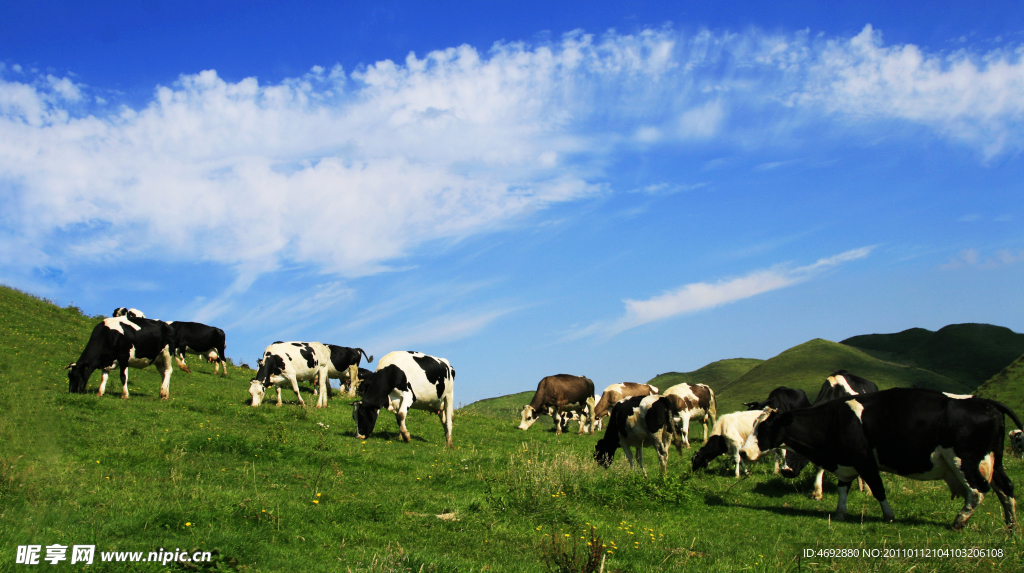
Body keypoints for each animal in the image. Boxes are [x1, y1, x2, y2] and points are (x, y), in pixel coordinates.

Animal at [741, 386, 1019, 532]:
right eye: (753, 424)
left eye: (765, 428)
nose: (744, 452)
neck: (835, 420)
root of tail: (988, 403)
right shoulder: (846, 463)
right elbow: (842, 490)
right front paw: (840, 513)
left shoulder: (865, 460)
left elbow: (877, 488)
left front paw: (889, 515)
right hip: (993, 460)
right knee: (1005, 488)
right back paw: (1011, 525)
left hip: (965, 460)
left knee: (978, 490)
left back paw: (959, 520)